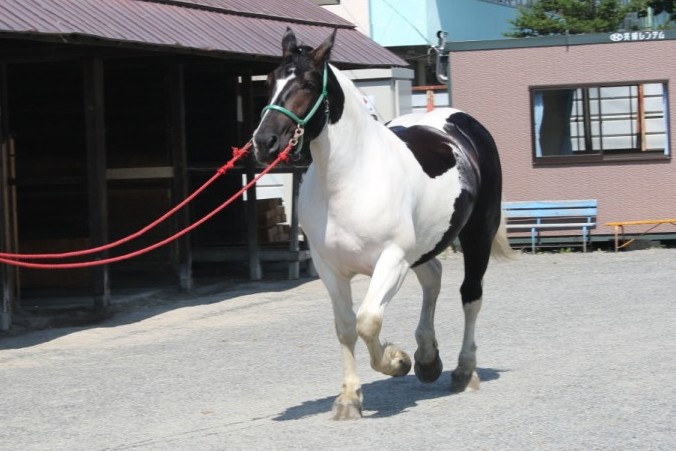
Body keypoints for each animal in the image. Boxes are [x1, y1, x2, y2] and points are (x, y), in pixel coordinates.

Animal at [252, 28, 511, 420]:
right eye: (270, 81)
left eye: (309, 83)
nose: (265, 142)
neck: (350, 179)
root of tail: (461, 121)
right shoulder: (330, 268)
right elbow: (346, 326)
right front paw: (349, 399)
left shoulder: (391, 261)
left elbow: (368, 320)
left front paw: (397, 361)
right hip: (423, 247)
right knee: (433, 277)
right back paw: (428, 359)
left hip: (477, 234)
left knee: (470, 297)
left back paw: (463, 371)